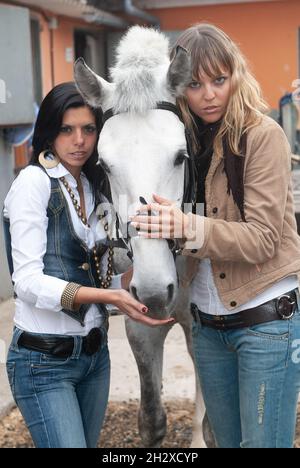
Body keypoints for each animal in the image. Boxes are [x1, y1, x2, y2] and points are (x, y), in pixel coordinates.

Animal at [74, 26, 210, 450]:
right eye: (102, 165)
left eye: (181, 156)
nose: (153, 289)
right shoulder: (139, 324)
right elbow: (152, 419)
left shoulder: (202, 324)